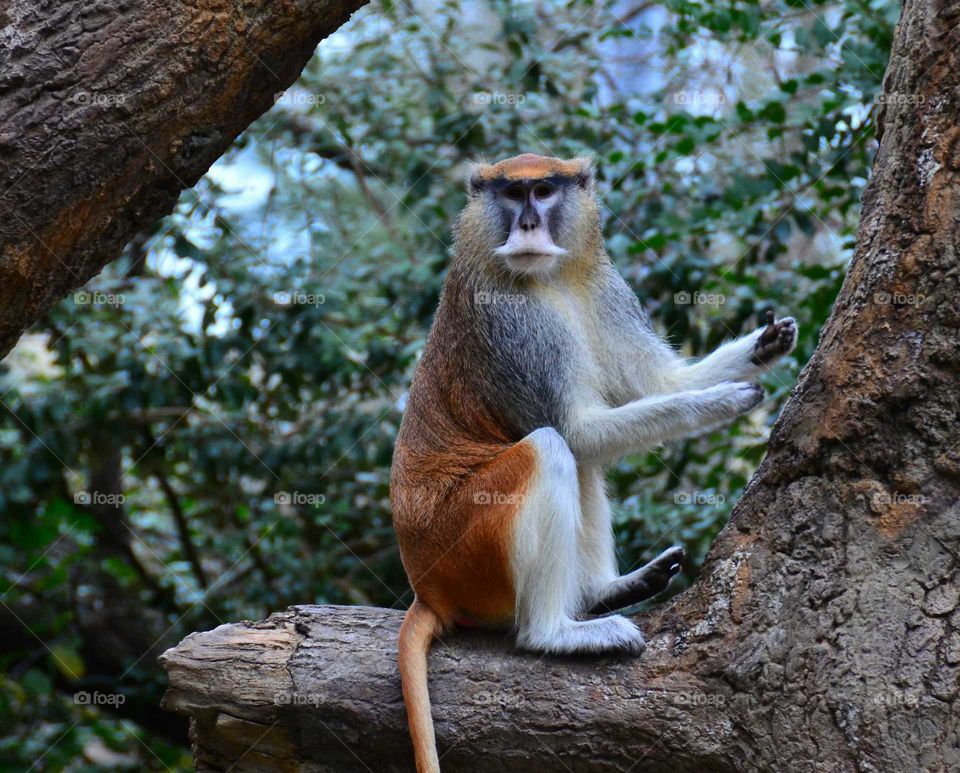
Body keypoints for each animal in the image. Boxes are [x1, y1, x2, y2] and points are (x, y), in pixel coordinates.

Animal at [390, 153, 797, 772]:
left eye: (542, 191)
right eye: (511, 195)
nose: (528, 224)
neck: (550, 276)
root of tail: (427, 588)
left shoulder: (605, 290)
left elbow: (655, 385)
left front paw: (764, 345)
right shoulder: (513, 321)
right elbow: (579, 431)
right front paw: (723, 400)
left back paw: (605, 591)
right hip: (467, 550)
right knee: (551, 450)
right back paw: (554, 633)